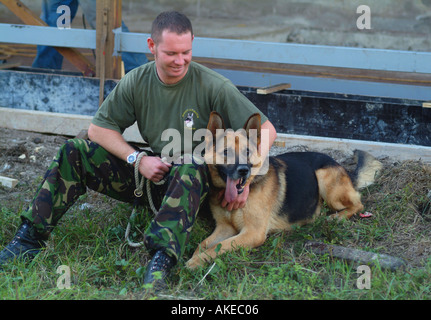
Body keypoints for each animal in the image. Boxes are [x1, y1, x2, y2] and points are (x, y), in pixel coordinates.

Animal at [187, 111, 384, 268]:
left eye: (248, 152)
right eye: (226, 152)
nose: (243, 170)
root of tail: (340, 165)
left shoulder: (252, 233)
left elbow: (219, 247)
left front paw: (195, 262)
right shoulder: (224, 228)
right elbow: (203, 245)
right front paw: (194, 258)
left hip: (325, 180)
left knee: (358, 204)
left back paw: (336, 217)